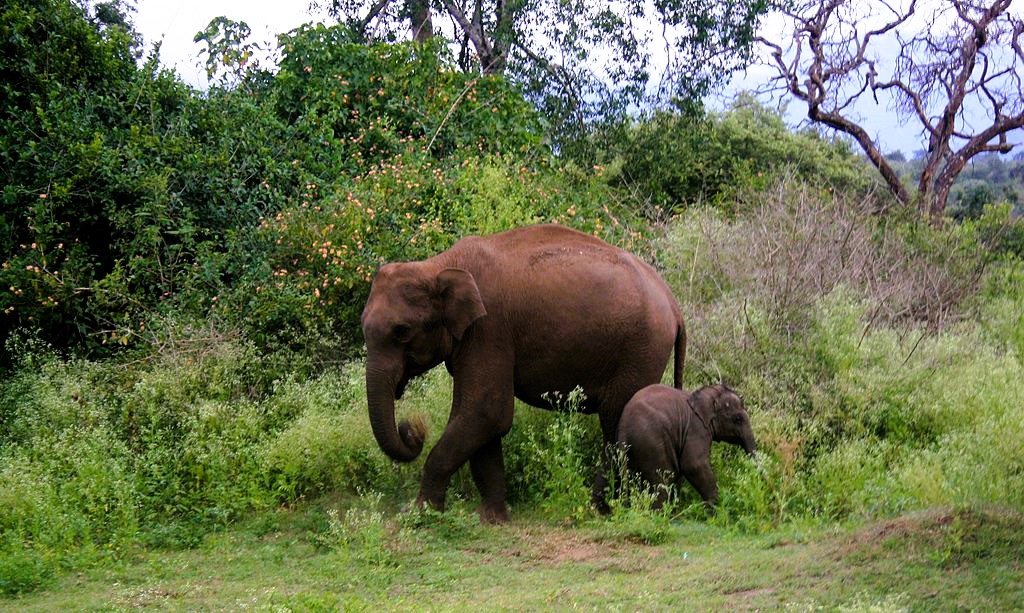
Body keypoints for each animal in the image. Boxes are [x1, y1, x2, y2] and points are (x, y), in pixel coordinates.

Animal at [362, 224, 688, 521]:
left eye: (402, 331)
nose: (411, 428)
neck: (437, 266)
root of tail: (673, 304)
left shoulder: (489, 330)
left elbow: (487, 412)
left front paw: (419, 514)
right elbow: (478, 418)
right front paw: (491, 519)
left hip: (640, 350)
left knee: (616, 421)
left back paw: (602, 509)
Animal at [614, 386, 753, 511]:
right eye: (738, 419)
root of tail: (623, 427)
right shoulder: (696, 429)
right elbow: (693, 465)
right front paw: (713, 509)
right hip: (652, 442)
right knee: (664, 478)